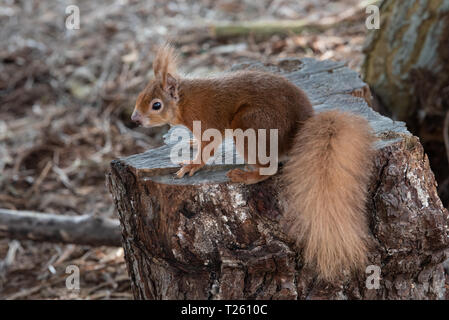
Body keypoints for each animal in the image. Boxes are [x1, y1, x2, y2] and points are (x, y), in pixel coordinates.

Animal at [130, 44, 374, 280]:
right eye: (140, 95)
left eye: (156, 105)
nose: (134, 119)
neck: (184, 101)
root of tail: (298, 130)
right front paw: (190, 142)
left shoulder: (207, 122)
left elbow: (208, 145)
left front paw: (192, 165)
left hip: (249, 125)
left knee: (269, 169)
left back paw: (246, 175)